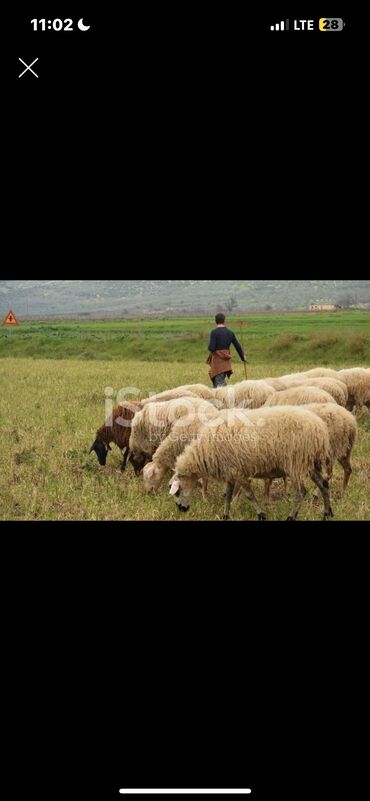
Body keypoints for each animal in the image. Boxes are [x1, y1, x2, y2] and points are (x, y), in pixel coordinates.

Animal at [169, 404, 334, 520]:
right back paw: (327, 513)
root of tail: (320, 428)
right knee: (323, 484)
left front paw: (261, 514)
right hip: (309, 462)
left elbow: (249, 495)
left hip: (296, 462)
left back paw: (291, 516)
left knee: (301, 491)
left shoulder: (238, 472)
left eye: (176, 491)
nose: (181, 509)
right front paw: (225, 515)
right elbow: (228, 495)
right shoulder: (230, 471)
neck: (204, 451)